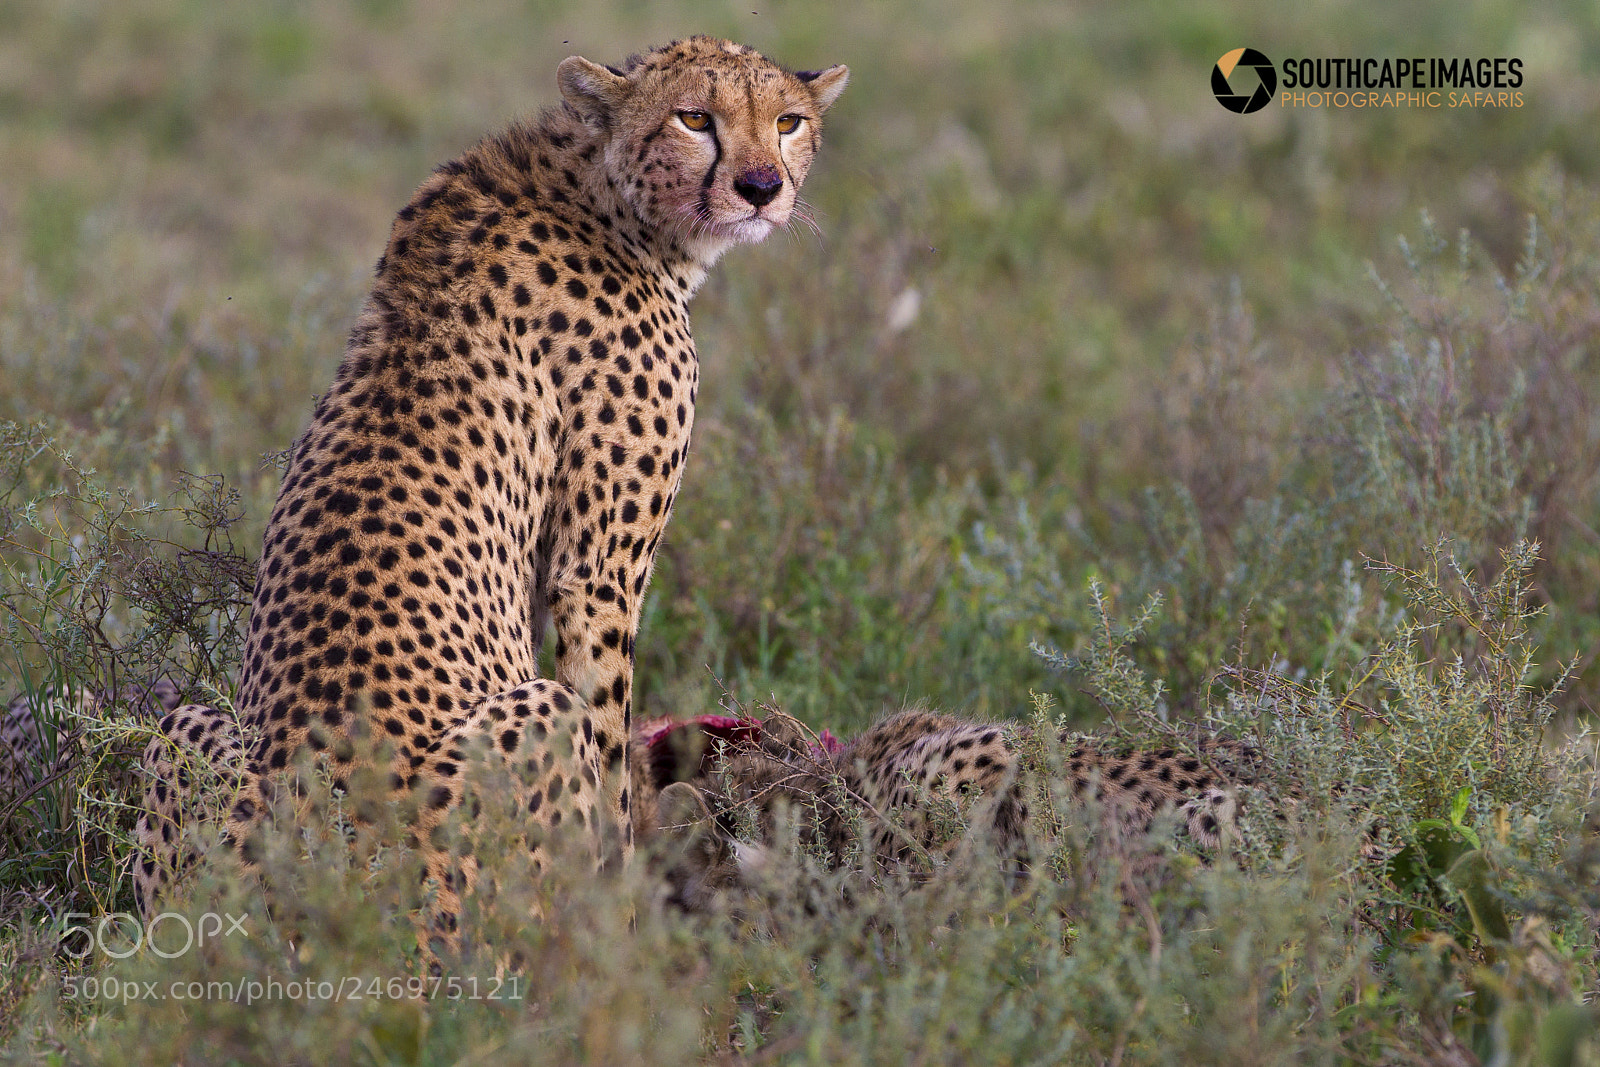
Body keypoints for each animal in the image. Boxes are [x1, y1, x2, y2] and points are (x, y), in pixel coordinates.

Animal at [128, 36, 849, 941]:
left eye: (787, 122)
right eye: (694, 118)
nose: (762, 187)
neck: (600, 194)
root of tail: (321, 892)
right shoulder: (597, 574)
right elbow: (609, 731)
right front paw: (624, 912)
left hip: (185, 731)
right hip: (523, 739)